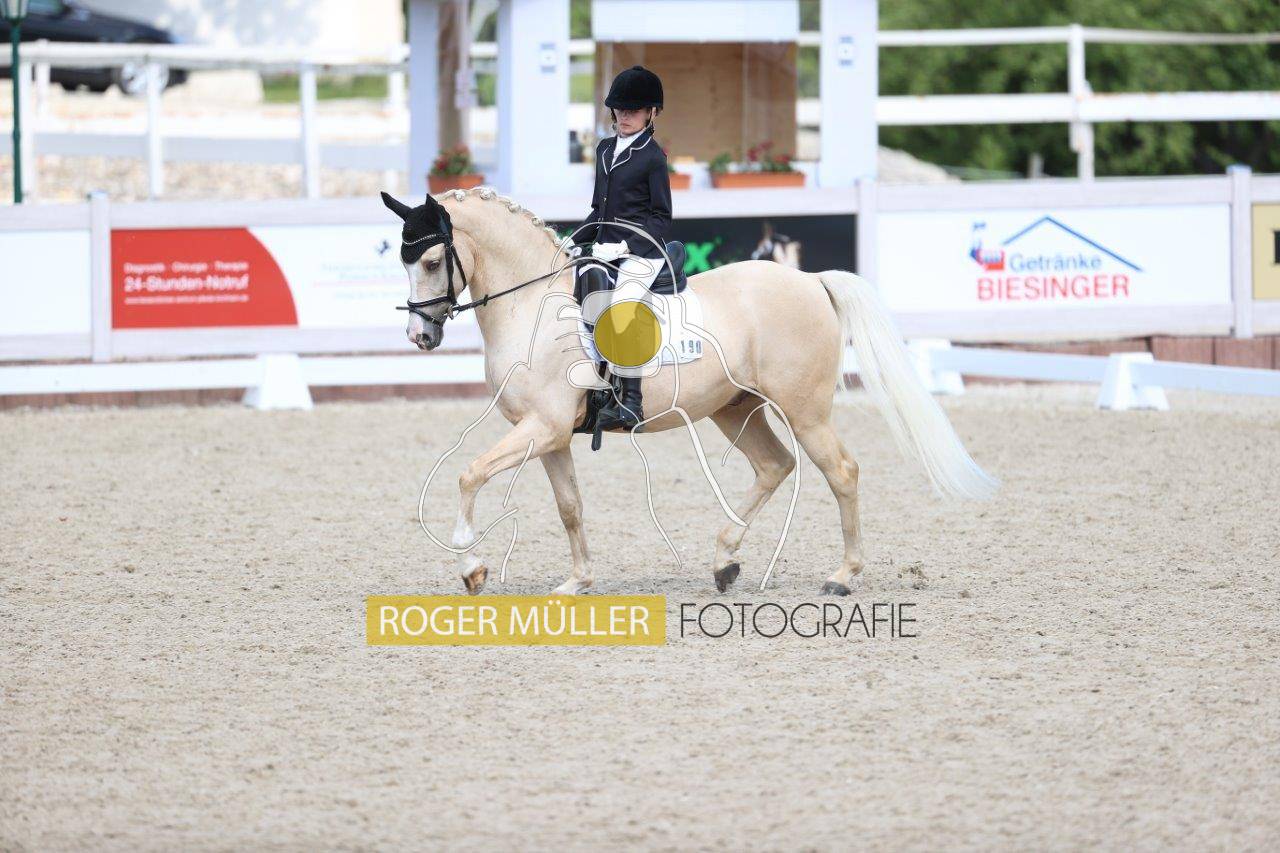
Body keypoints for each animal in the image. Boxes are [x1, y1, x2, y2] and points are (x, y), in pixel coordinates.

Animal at [382, 186, 996, 596]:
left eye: (432, 260)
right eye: (404, 260)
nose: (420, 336)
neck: (533, 302)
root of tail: (811, 281)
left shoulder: (544, 427)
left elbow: (469, 474)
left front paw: (471, 568)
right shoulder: (550, 436)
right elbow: (570, 506)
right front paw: (577, 582)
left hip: (805, 411)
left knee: (840, 472)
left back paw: (841, 577)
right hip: (735, 409)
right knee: (774, 466)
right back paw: (725, 562)